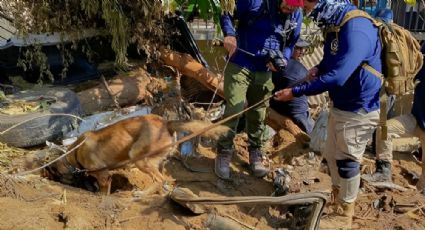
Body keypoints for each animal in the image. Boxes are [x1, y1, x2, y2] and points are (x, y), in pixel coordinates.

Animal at [44, 114, 229, 194]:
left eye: (57, 175)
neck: (74, 152)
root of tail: (166, 123)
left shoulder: (104, 177)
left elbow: (103, 192)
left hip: (138, 158)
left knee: (160, 180)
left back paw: (142, 194)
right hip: (156, 161)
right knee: (163, 180)